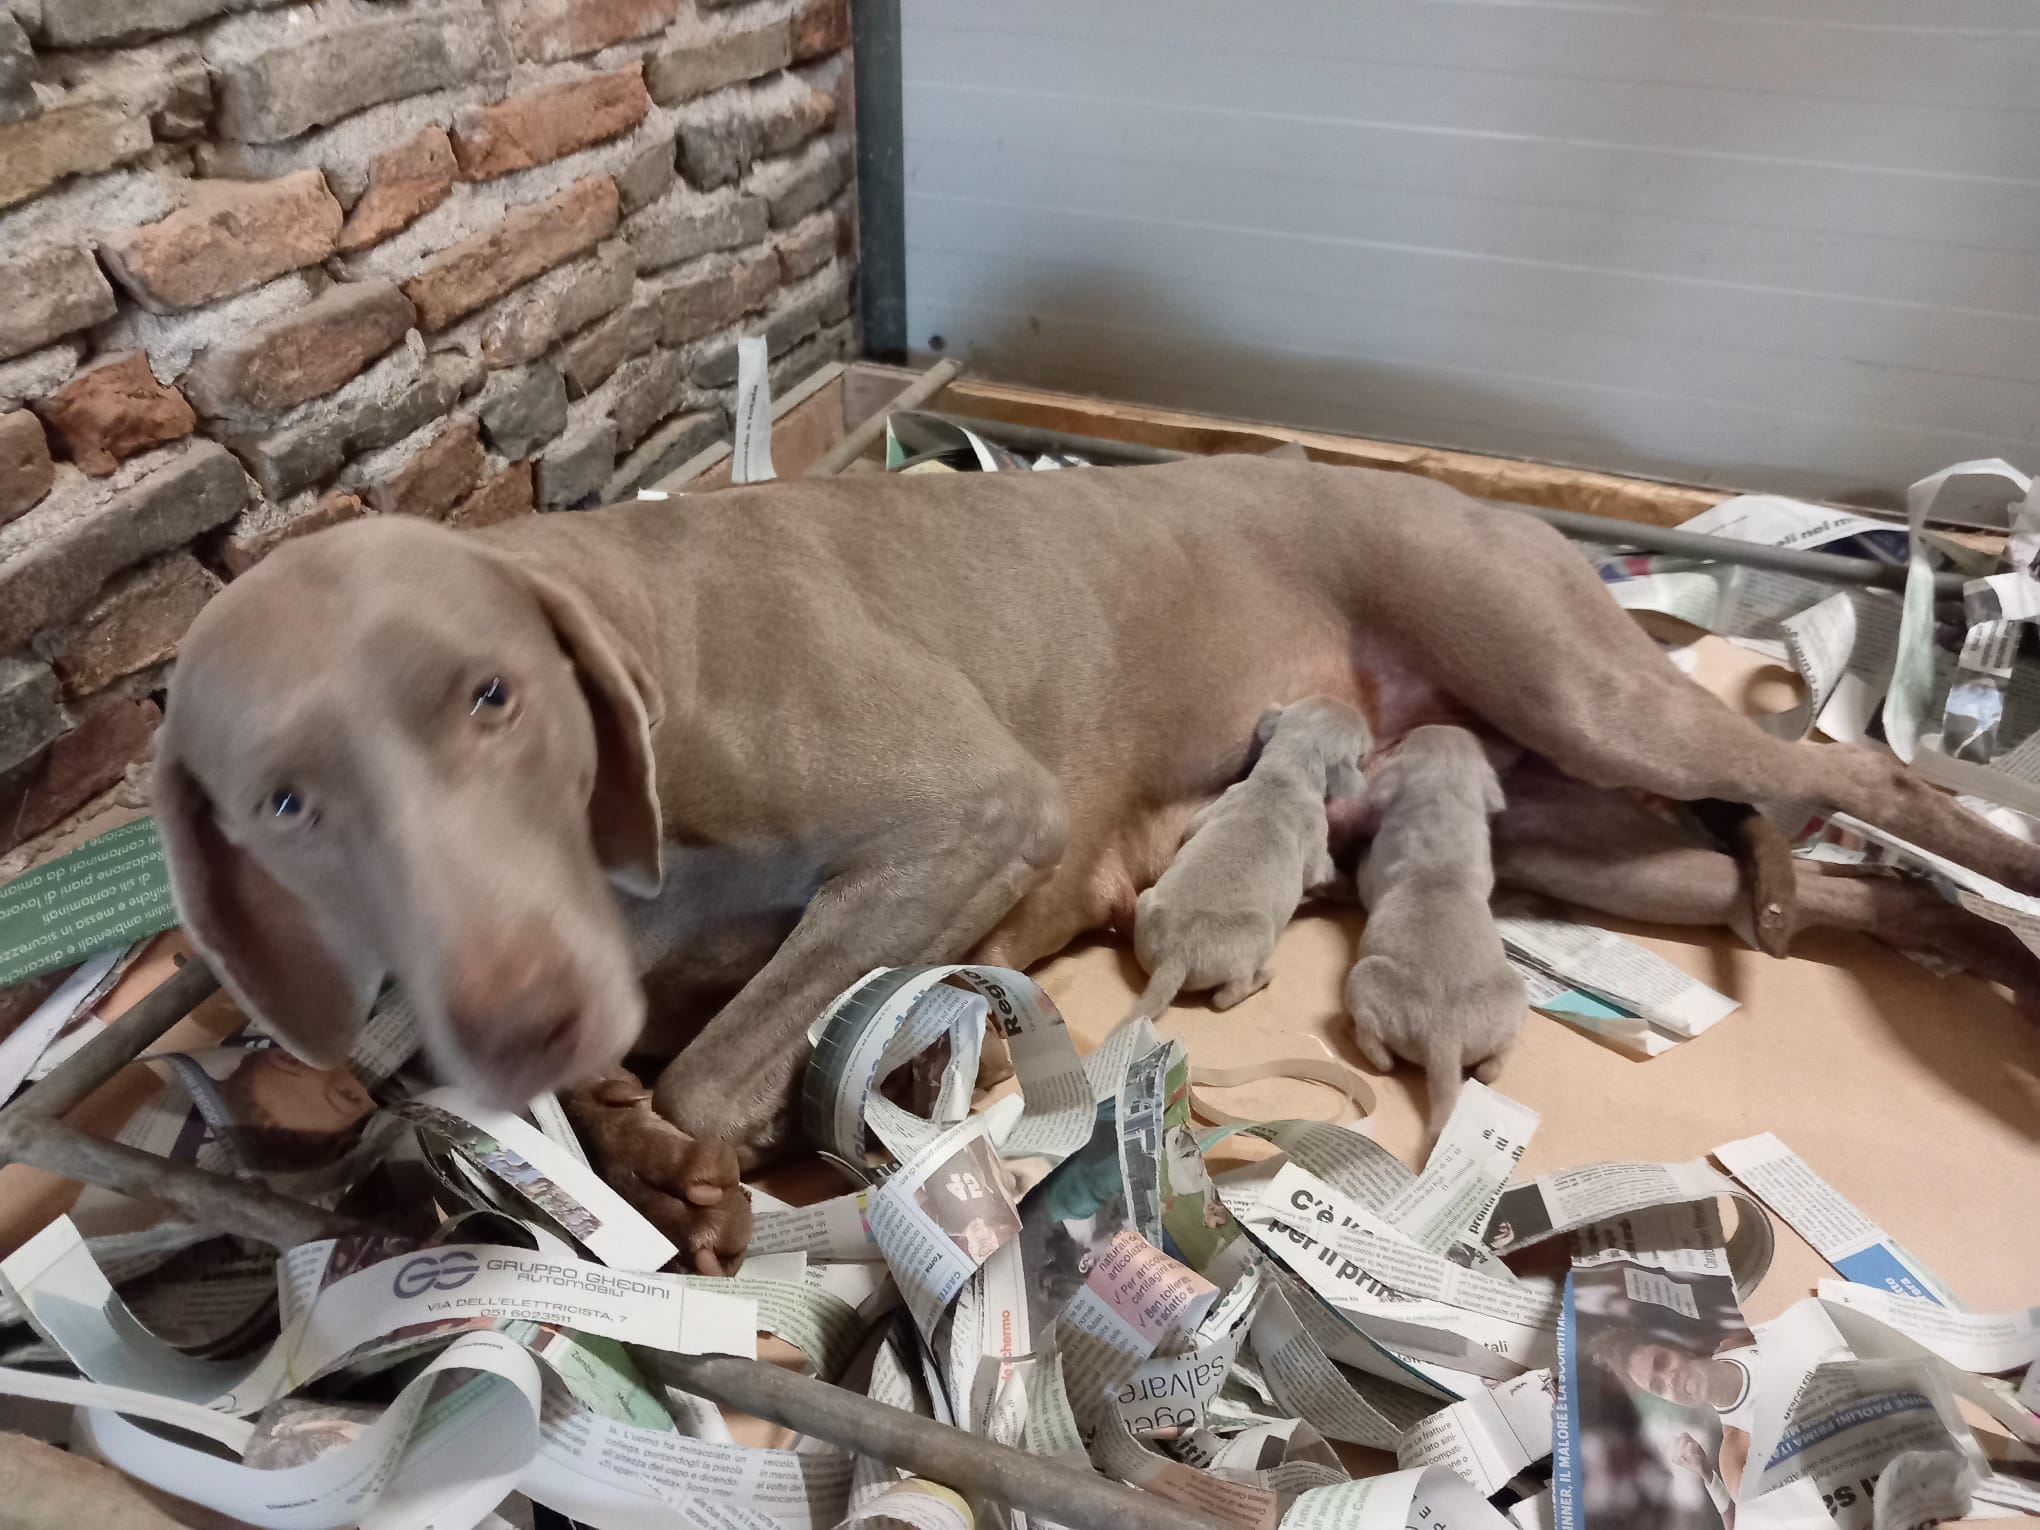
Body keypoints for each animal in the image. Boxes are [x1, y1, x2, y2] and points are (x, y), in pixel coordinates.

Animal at [1134, 697, 1370, 1020]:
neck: (1283, 772)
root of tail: (1174, 958)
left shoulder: (1213, 808)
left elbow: (1192, 828)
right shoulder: (1316, 847)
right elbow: (1328, 876)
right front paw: (1354, 892)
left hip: (1144, 904)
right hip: (1259, 937)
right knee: (1225, 996)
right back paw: (1261, 978)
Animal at [1346, 722, 1525, 1142]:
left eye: (1402, 742)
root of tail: (1445, 1038)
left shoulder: (1373, 872)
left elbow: (1364, 877)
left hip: (1365, 977)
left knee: (1376, 1046)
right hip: (1513, 992)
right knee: (1498, 1057)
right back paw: (1488, 1070)